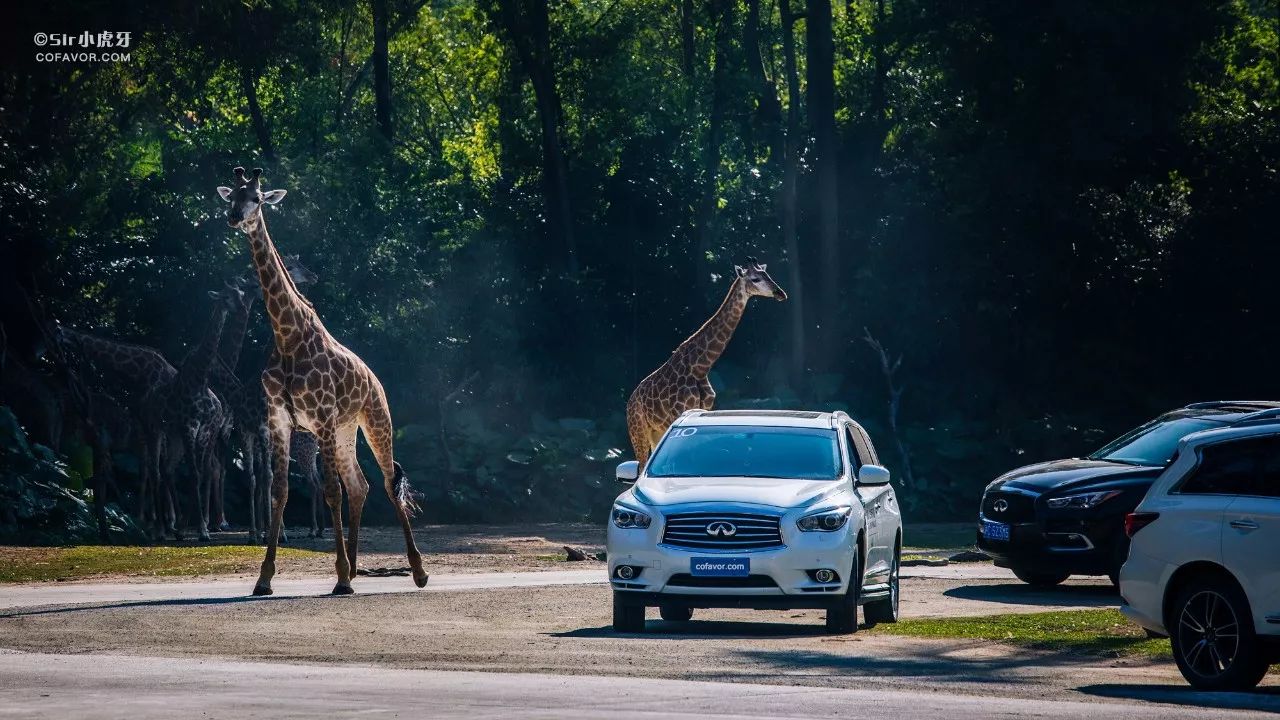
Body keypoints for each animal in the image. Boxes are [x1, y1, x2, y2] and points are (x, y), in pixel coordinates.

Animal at [215, 165, 424, 591]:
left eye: (257, 198)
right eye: (233, 195)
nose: (235, 217)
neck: (287, 335)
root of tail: (375, 379)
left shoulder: (322, 419)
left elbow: (330, 493)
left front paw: (339, 575)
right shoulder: (280, 421)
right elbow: (279, 491)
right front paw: (264, 579)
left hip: (375, 421)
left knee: (387, 484)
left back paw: (417, 571)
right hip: (345, 431)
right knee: (360, 486)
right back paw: (357, 569)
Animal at [624, 257, 783, 466]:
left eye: (768, 275)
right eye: (755, 279)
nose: (780, 293)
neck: (700, 367)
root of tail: (630, 402)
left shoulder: (705, 409)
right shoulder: (681, 410)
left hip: (656, 431)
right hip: (639, 431)